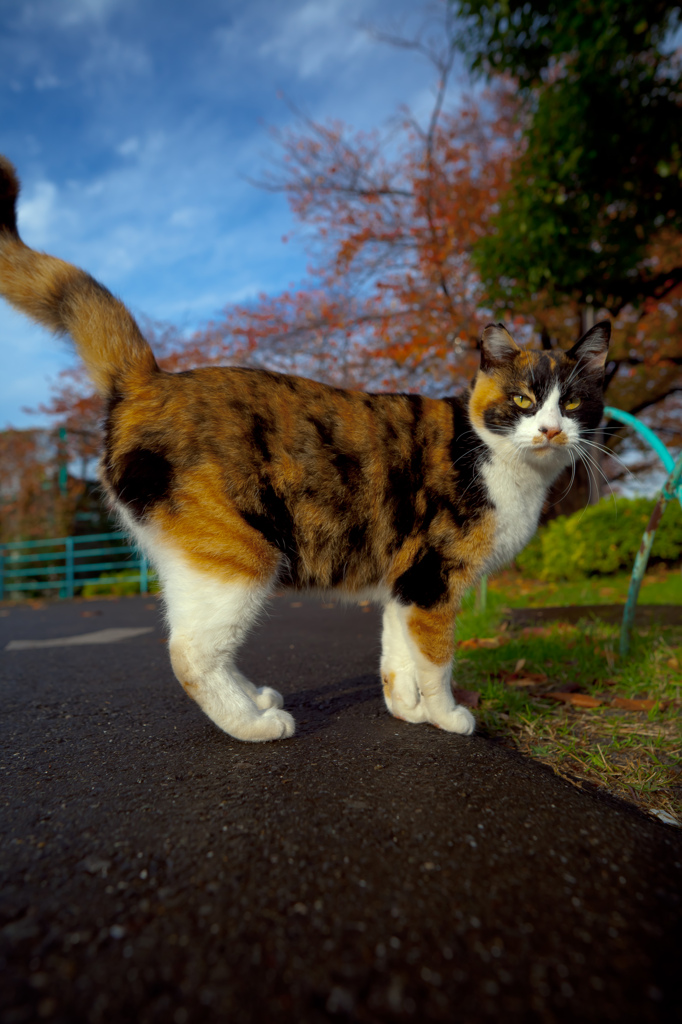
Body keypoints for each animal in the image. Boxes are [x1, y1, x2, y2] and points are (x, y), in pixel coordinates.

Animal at [0, 153, 606, 745]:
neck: (498, 459)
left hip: (196, 561)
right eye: (524, 399)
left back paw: (256, 699)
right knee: (190, 653)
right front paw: (447, 716)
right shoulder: (435, 579)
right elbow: (437, 663)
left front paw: (406, 710)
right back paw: (255, 725)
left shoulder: (405, 582)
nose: (551, 430)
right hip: (239, 554)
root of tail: (150, 380)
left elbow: (397, 656)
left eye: (574, 403)